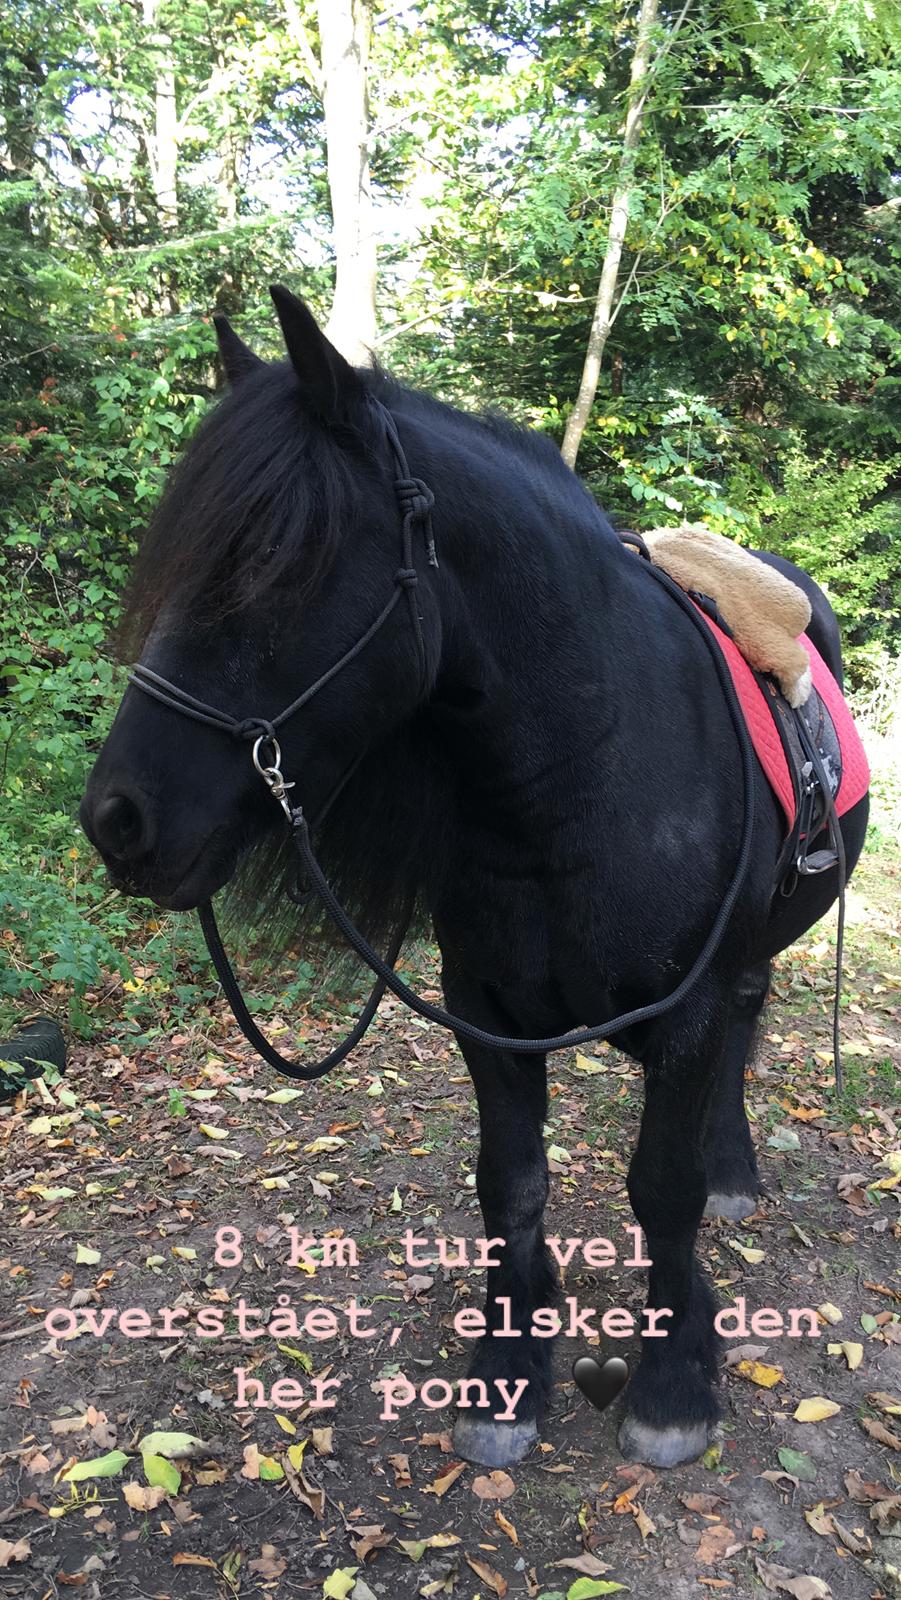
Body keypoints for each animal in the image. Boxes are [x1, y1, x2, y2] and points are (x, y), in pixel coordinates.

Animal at [80, 287, 869, 1471]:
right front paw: (508, 1366)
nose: (117, 819)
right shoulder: (484, 1011)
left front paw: (675, 1375)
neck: (583, 774)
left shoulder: (677, 1018)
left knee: (743, 1016)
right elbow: (512, 1185)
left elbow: (662, 1188)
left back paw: (731, 1167)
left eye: (278, 561)